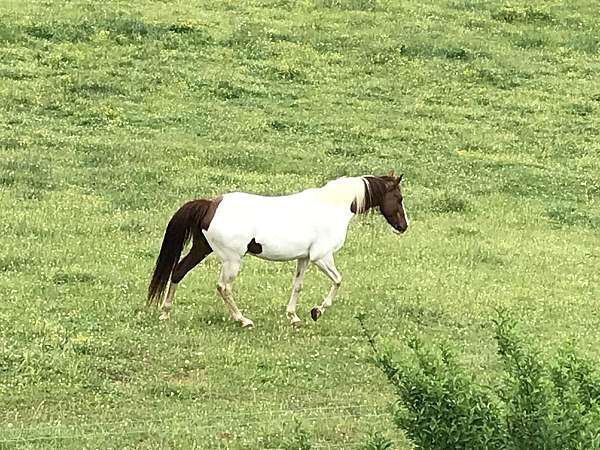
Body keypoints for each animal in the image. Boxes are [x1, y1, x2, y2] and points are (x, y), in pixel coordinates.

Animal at [146, 172, 408, 326]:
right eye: (399, 197)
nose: (404, 226)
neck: (332, 206)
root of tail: (211, 204)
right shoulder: (321, 257)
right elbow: (338, 281)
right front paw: (317, 311)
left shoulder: (304, 258)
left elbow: (297, 285)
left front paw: (294, 316)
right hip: (232, 260)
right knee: (223, 287)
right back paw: (243, 320)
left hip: (202, 249)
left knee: (178, 271)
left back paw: (165, 312)